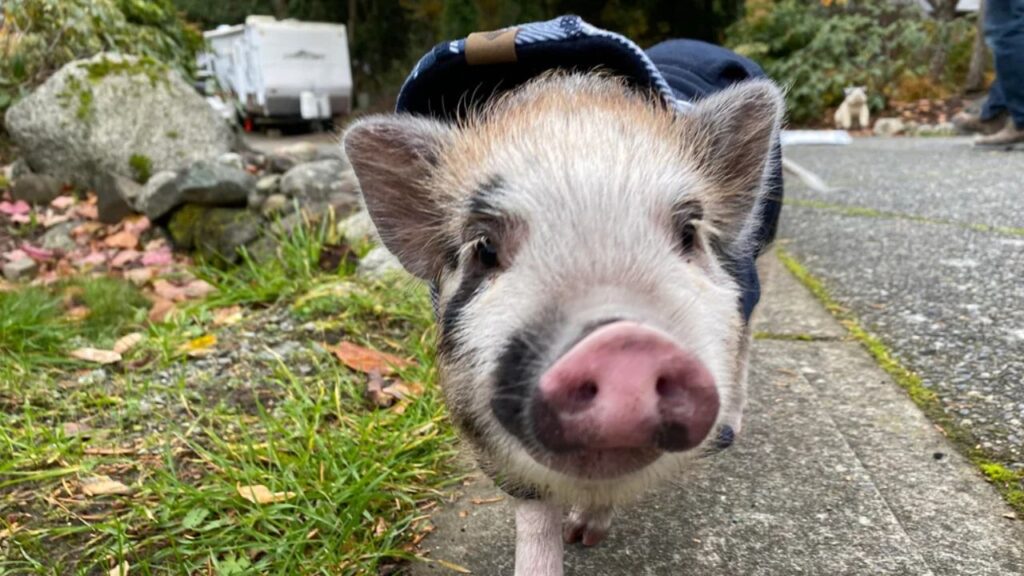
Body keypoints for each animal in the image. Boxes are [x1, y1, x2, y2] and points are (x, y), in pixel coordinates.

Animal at [343, 19, 783, 576]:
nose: (623, 344)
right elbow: (534, 520)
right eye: (484, 248)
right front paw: (572, 539)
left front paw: (585, 536)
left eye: (688, 232)